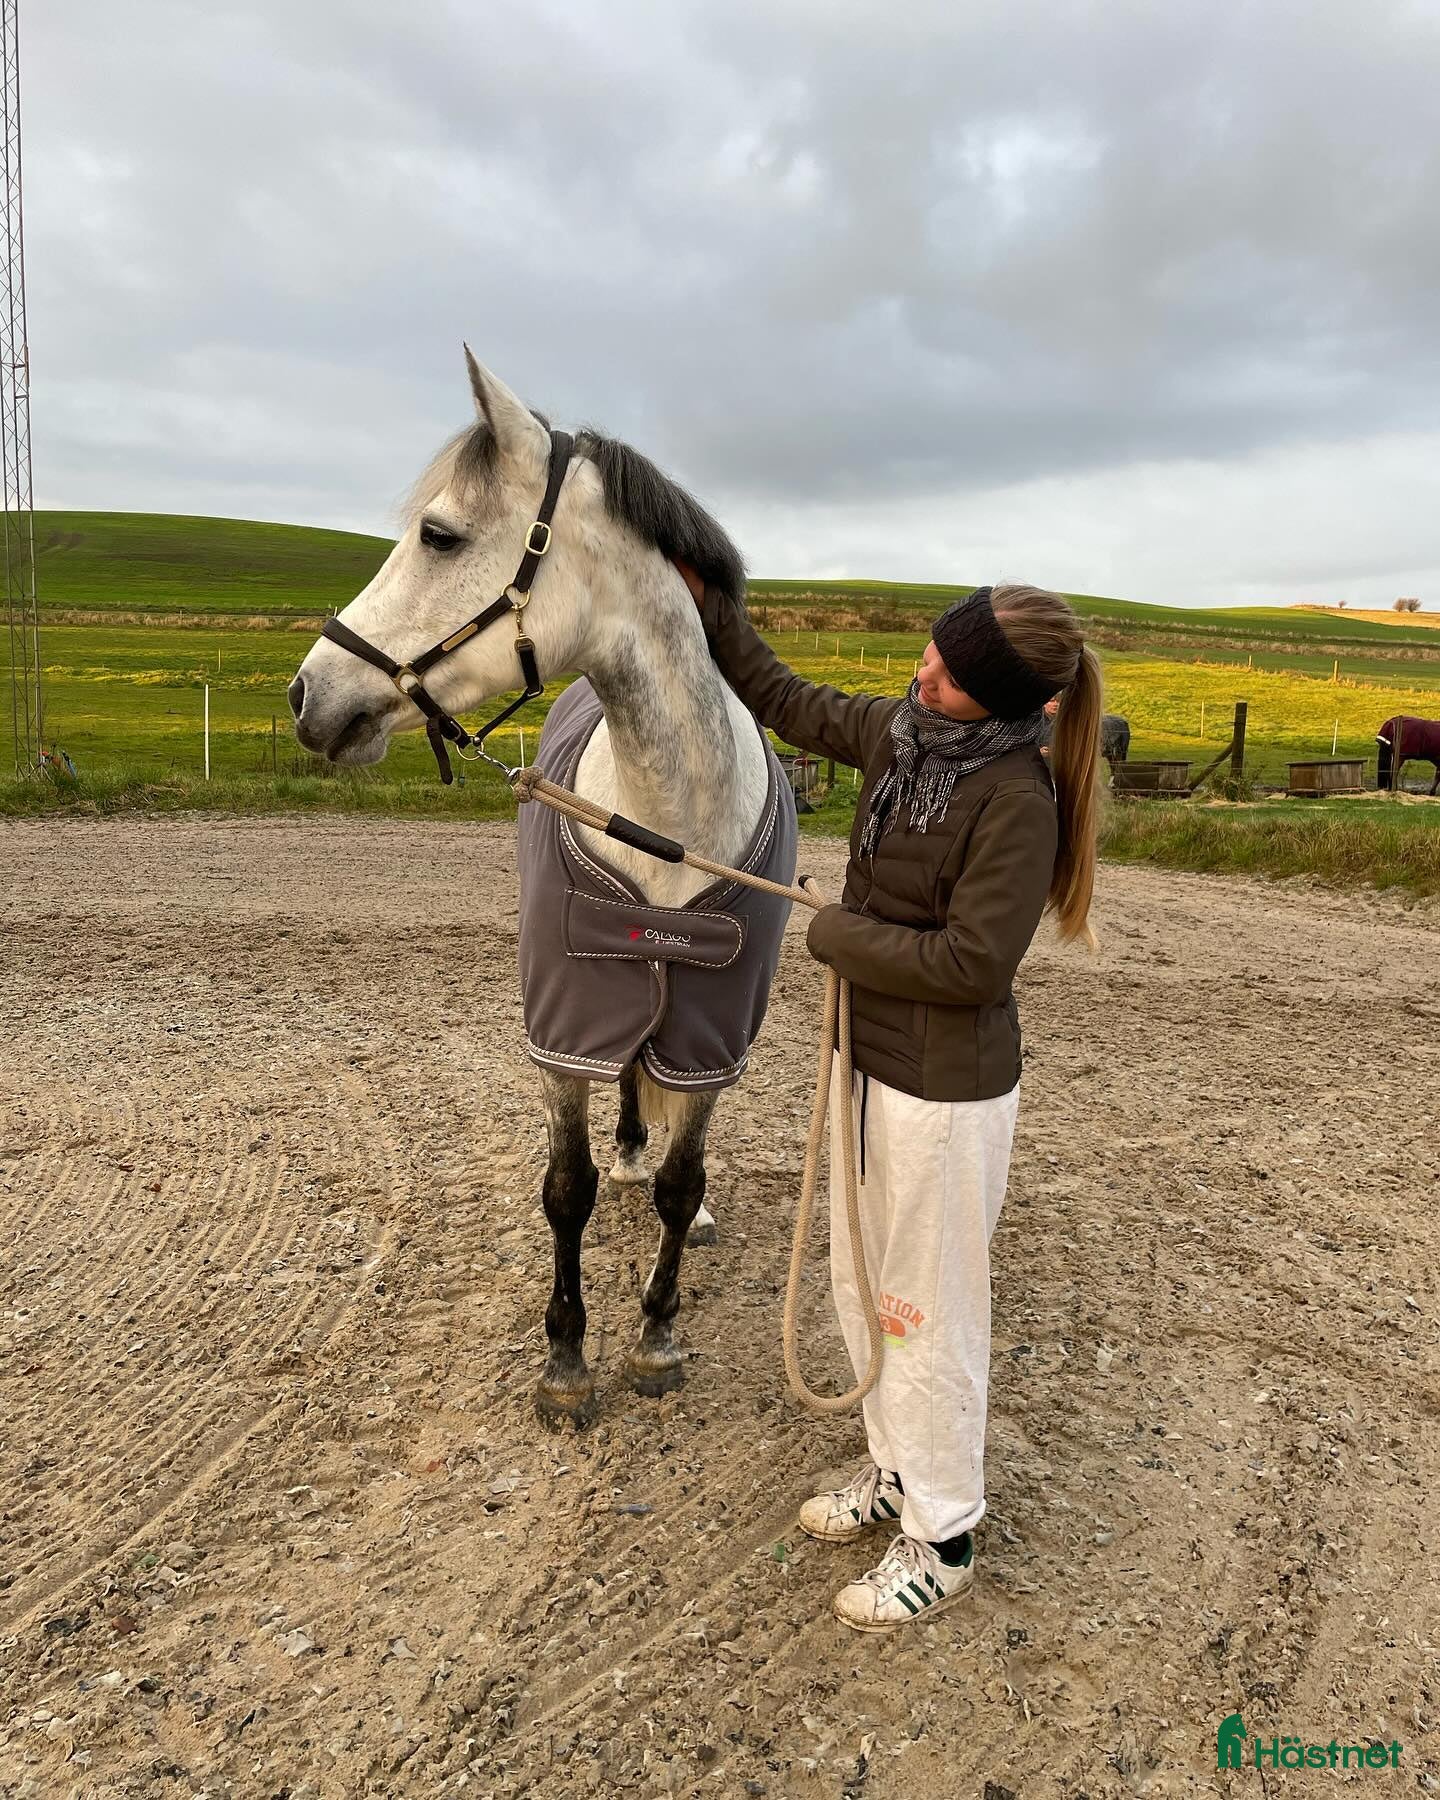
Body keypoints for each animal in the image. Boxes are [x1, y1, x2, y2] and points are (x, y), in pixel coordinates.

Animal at [288, 352, 795, 1427]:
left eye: (439, 534)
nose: (307, 695)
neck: (665, 824)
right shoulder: (565, 1028)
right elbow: (567, 1188)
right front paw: (565, 1358)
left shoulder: (710, 1038)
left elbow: (680, 1186)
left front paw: (655, 1336)